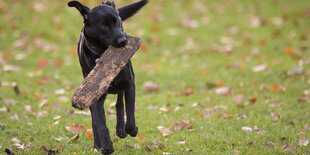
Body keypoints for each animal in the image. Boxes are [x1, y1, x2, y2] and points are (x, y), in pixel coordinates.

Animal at [68, 0, 148, 154]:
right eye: (103, 26)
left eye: (117, 21)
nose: (123, 40)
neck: (103, 54)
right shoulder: (93, 95)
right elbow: (100, 122)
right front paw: (105, 146)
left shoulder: (130, 84)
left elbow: (129, 117)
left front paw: (132, 130)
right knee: (94, 119)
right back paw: (97, 145)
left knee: (119, 104)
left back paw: (121, 130)